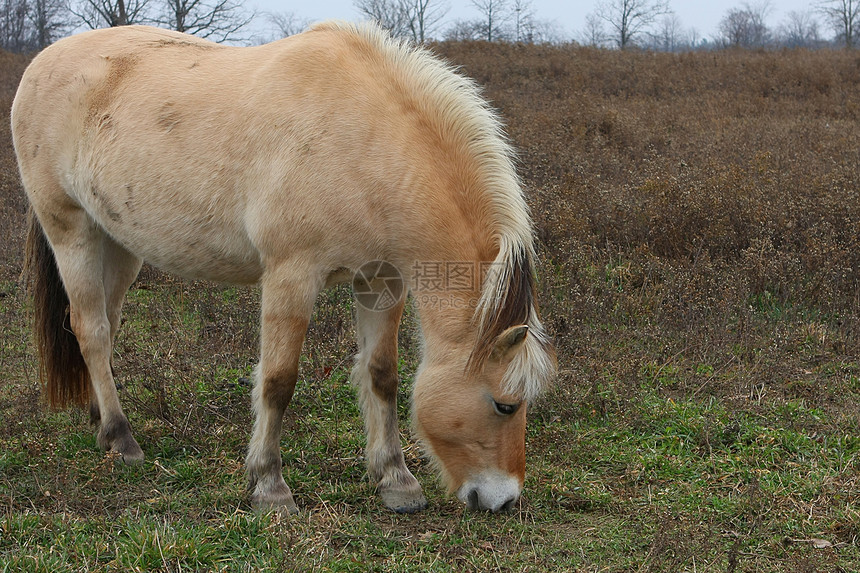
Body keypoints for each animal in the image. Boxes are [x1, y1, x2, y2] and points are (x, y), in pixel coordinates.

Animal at [11, 22, 556, 512]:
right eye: (504, 404)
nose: (504, 500)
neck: (363, 139)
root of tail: (41, 62)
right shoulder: (291, 277)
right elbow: (277, 382)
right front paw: (269, 486)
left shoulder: (381, 281)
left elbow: (382, 375)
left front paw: (396, 481)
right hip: (72, 230)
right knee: (91, 329)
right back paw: (122, 439)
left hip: (119, 244)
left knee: (105, 324)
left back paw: (99, 422)